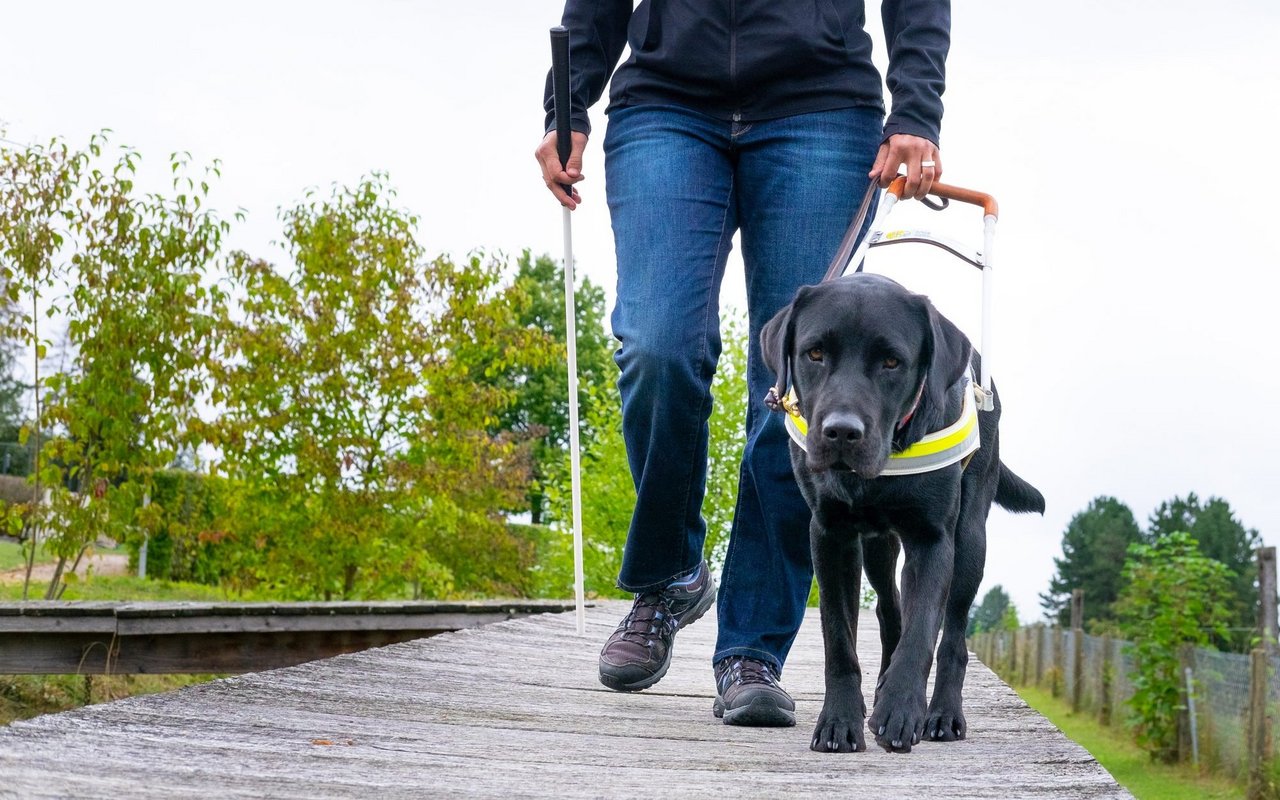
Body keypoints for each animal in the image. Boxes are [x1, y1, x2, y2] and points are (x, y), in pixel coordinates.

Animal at [757, 271, 1039, 752]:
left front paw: (902, 709)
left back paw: (943, 714)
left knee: (952, 637)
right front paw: (839, 721)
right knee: (891, 611)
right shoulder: (831, 535)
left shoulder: (933, 539)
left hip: (970, 541)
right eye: (815, 353)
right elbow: (840, 639)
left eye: (892, 362)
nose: (841, 432)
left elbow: (922, 631)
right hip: (879, 546)